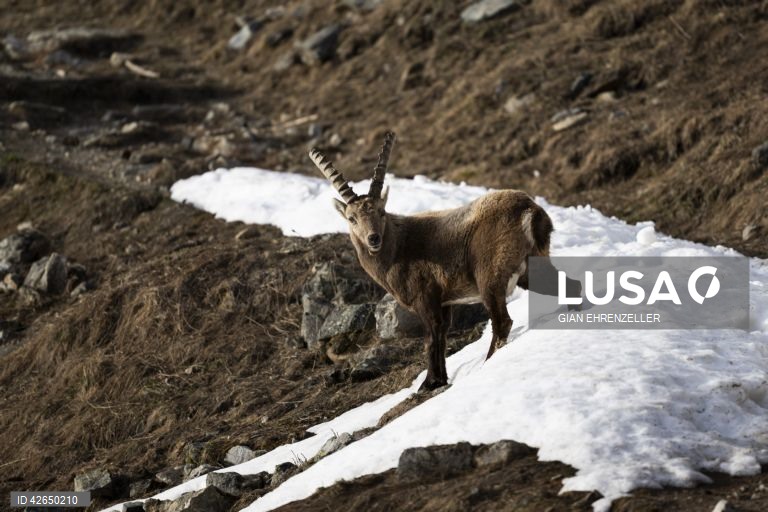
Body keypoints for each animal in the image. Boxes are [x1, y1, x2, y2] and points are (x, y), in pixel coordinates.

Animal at [309, 132, 580, 390]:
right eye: (352, 218)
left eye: (381, 211)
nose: (373, 238)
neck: (397, 248)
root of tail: (530, 209)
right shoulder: (445, 301)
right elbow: (441, 334)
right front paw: (439, 379)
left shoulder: (425, 296)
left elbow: (431, 338)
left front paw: (428, 383)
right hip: (531, 267)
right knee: (570, 285)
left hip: (490, 275)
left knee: (502, 321)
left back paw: (488, 362)